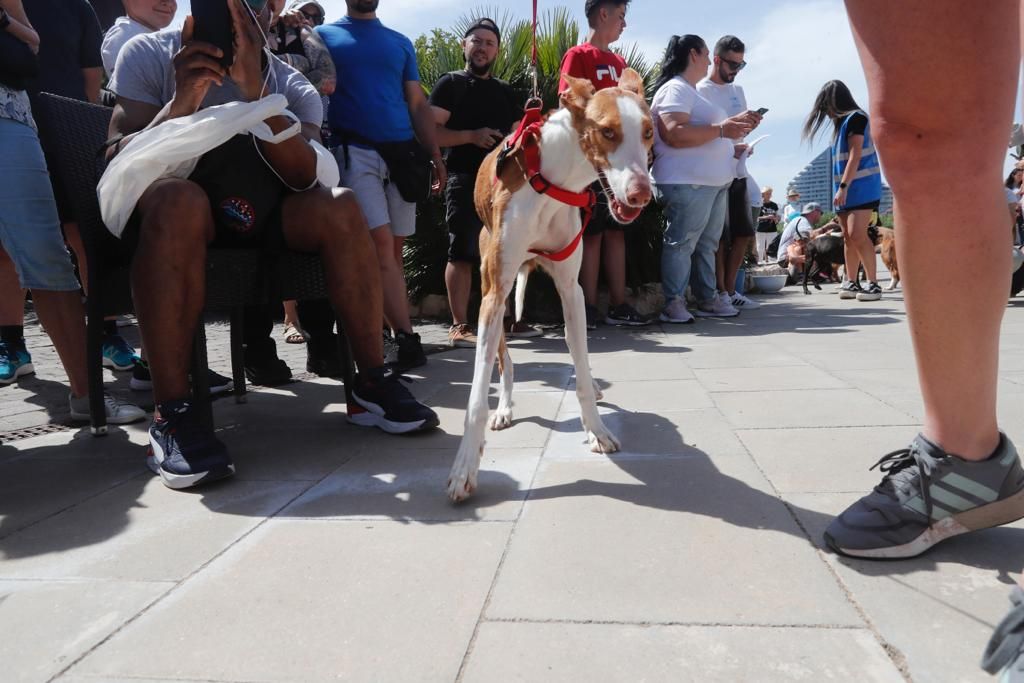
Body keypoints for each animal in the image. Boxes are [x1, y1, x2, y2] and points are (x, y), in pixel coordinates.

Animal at [448, 70, 655, 501]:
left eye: (647, 133)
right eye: (607, 132)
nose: (641, 195)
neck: (555, 179)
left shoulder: (572, 290)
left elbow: (580, 364)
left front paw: (596, 429)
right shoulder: (494, 295)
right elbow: (476, 395)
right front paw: (464, 468)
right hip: (494, 288)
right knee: (505, 361)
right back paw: (505, 408)